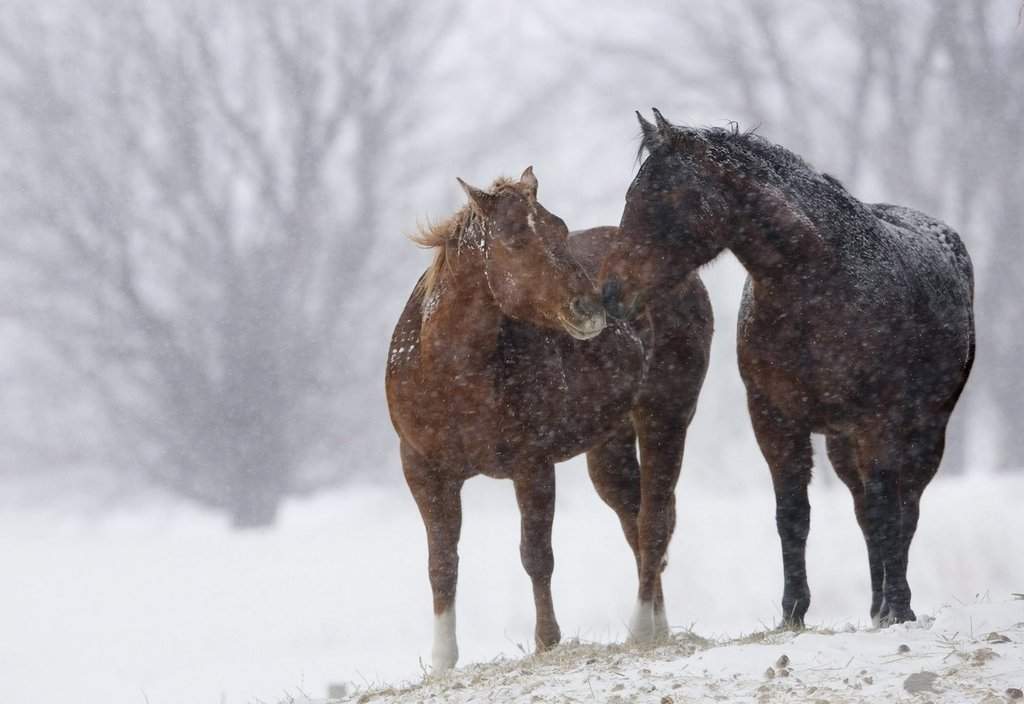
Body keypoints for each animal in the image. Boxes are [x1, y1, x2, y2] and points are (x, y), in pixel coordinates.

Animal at [386, 167, 712, 671]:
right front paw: (442, 660)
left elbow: (536, 554)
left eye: (560, 229)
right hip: (610, 446)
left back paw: (641, 629)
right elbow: (441, 564)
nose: (591, 309)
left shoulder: (531, 465)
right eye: (516, 239)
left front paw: (548, 640)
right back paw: (657, 628)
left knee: (654, 520)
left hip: (666, 417)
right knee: (634, 519)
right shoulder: (424, 471)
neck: (451, 373)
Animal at [600, 110, 975, 628]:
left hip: (924, 431)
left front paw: (897, 609)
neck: (818, 284)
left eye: (668, 197)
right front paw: (793, 612)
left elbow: (889, 513)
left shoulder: (877, 422)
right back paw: (875, 604)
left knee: (906, 507)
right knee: (865, 510)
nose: (610, 293)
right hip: (843, 442)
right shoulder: (775, 421)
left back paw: (894, 605)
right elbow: (793, 515)